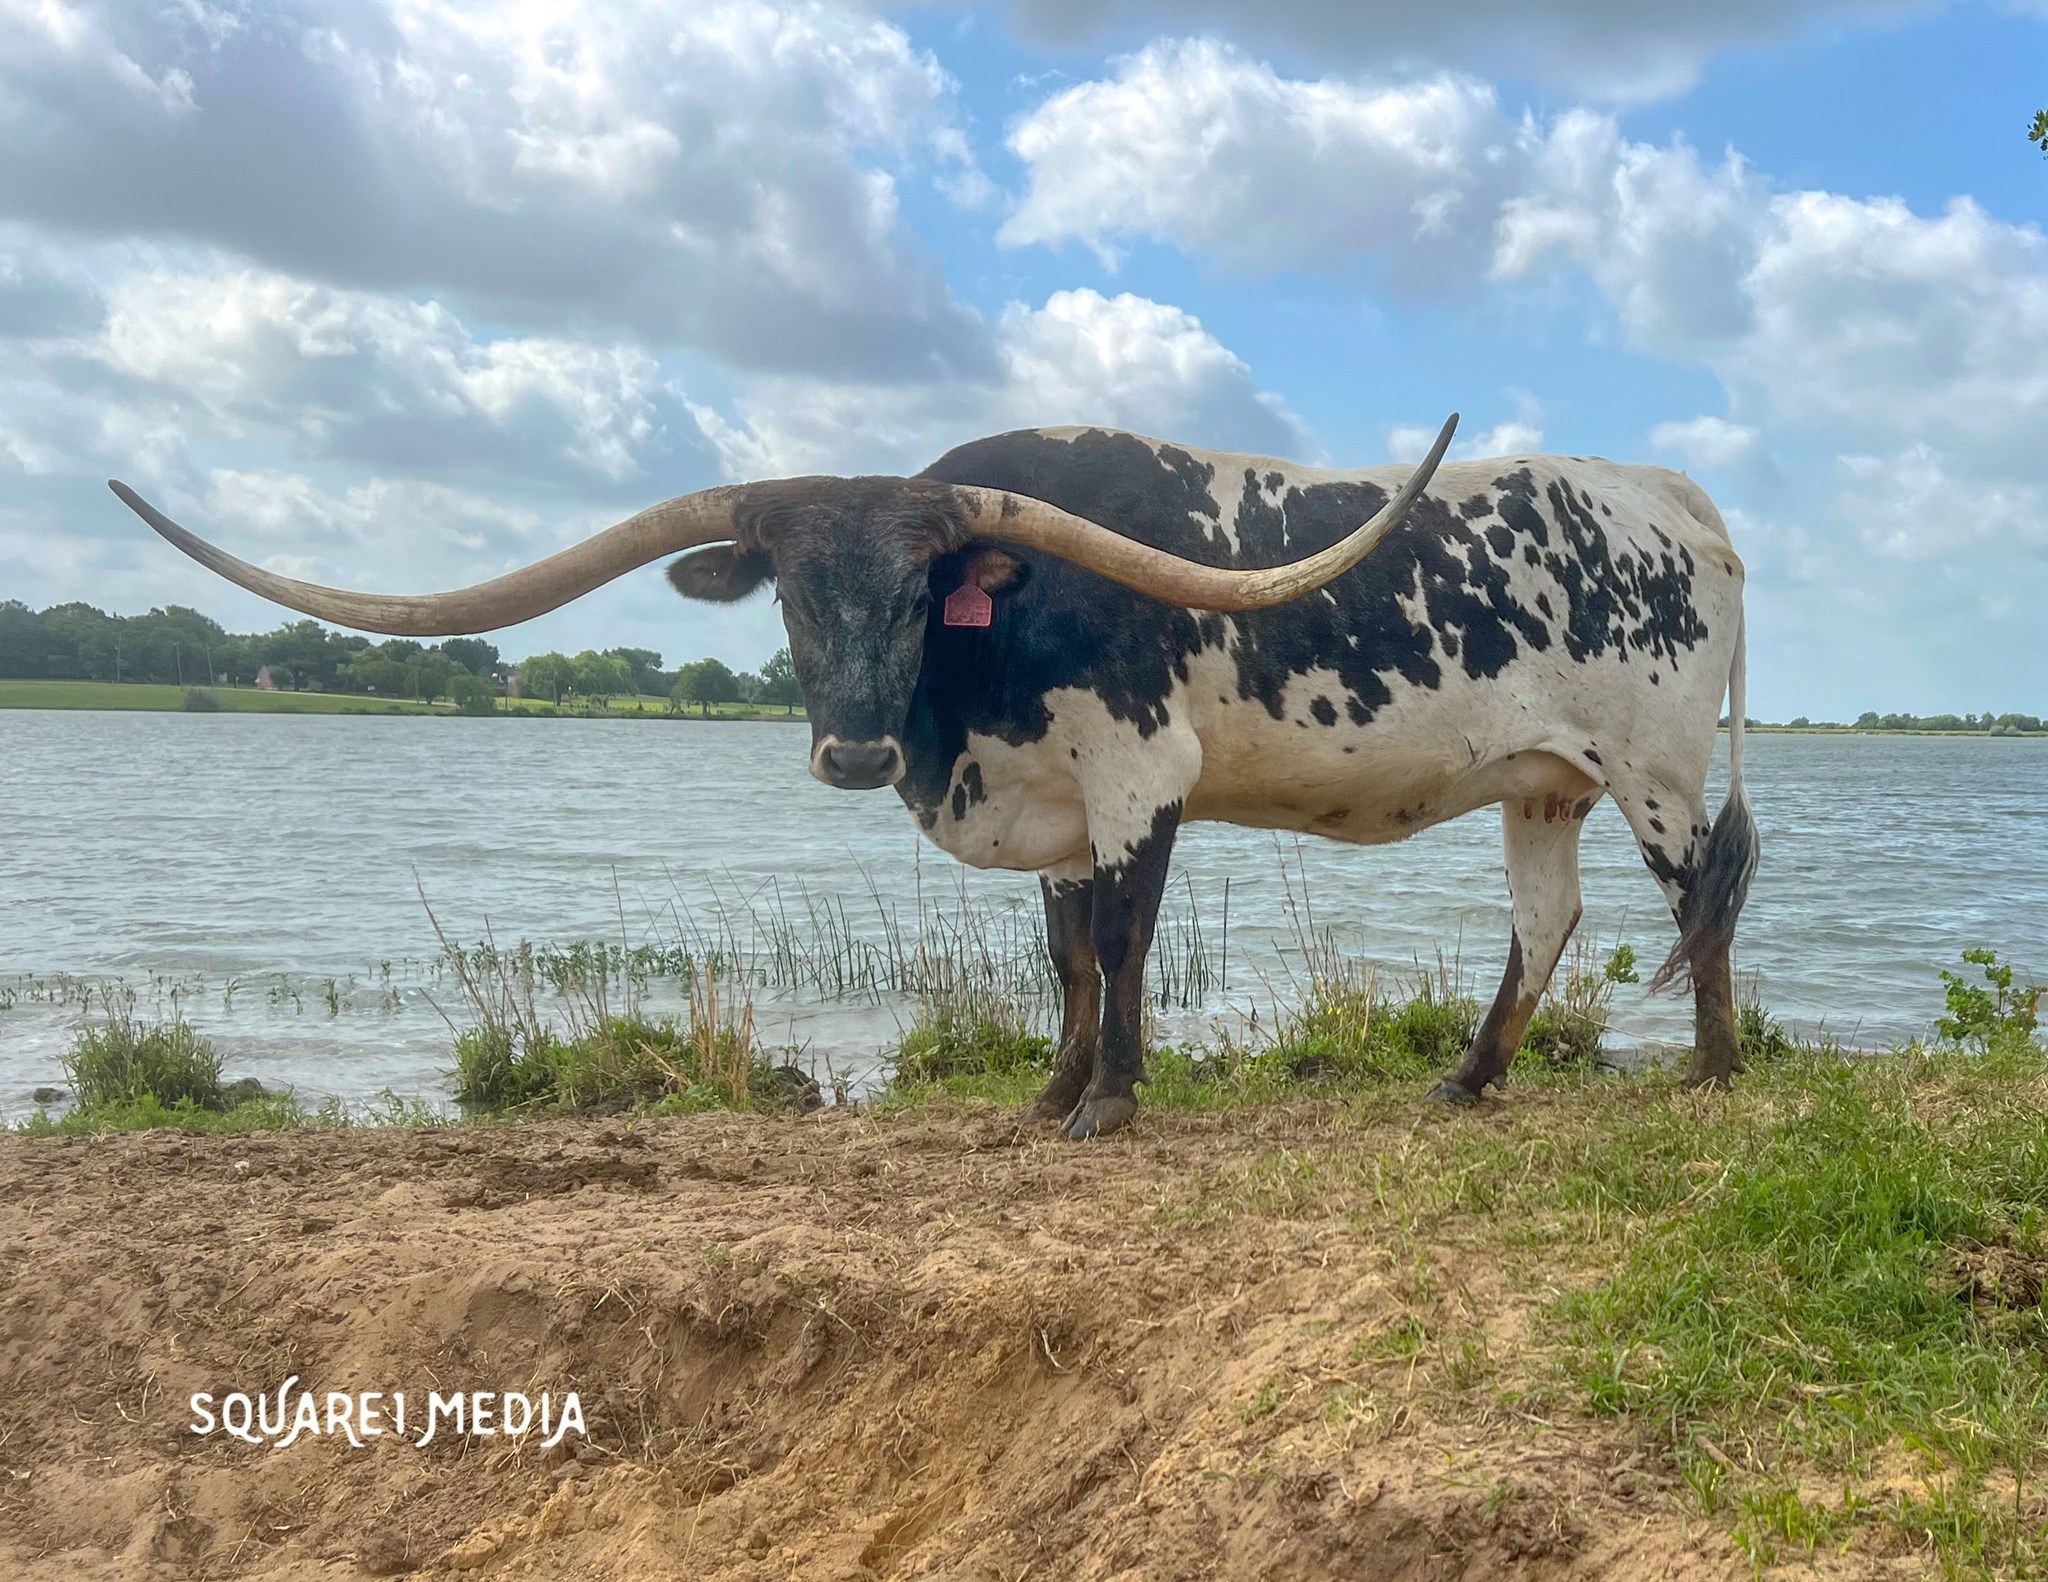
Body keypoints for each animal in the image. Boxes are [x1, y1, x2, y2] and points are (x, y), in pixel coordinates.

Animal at [112, 410, 1757, 1140]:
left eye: (921, 592)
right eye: (786, 594)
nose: (850, 749)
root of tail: (1665, 490)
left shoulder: (1138, 776)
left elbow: (1126, 942)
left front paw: (1109, 1106)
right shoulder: (1054, 809)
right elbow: (1065, 952)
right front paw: (1050, 1090)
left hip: (1653, 766)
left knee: (1704, 895)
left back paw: (1715, 1070)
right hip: (1542, 779)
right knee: (1545, 921)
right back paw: (1469, 1077)